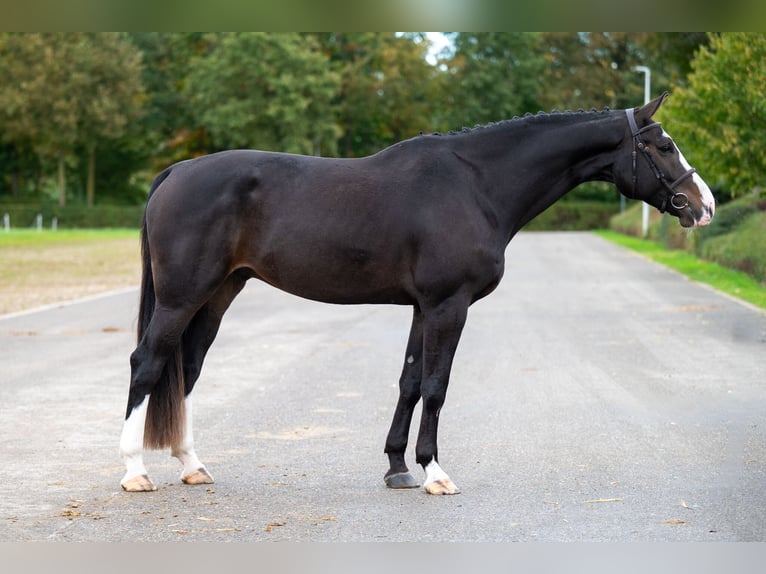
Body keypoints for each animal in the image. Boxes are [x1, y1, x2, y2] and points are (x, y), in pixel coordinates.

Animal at [118, 93, 712, 496]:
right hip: (182, 298)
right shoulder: (449, 306)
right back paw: (135, 471)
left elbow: (408, 382)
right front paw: (434, 471)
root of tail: (176, 171)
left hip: (218, 295)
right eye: (663, 146)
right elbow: (436, 385)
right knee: (148, 363)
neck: (477, 185)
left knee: (187, 369)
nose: (702, 205)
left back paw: (192, 466)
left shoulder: (423, 308)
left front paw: (398, 467)